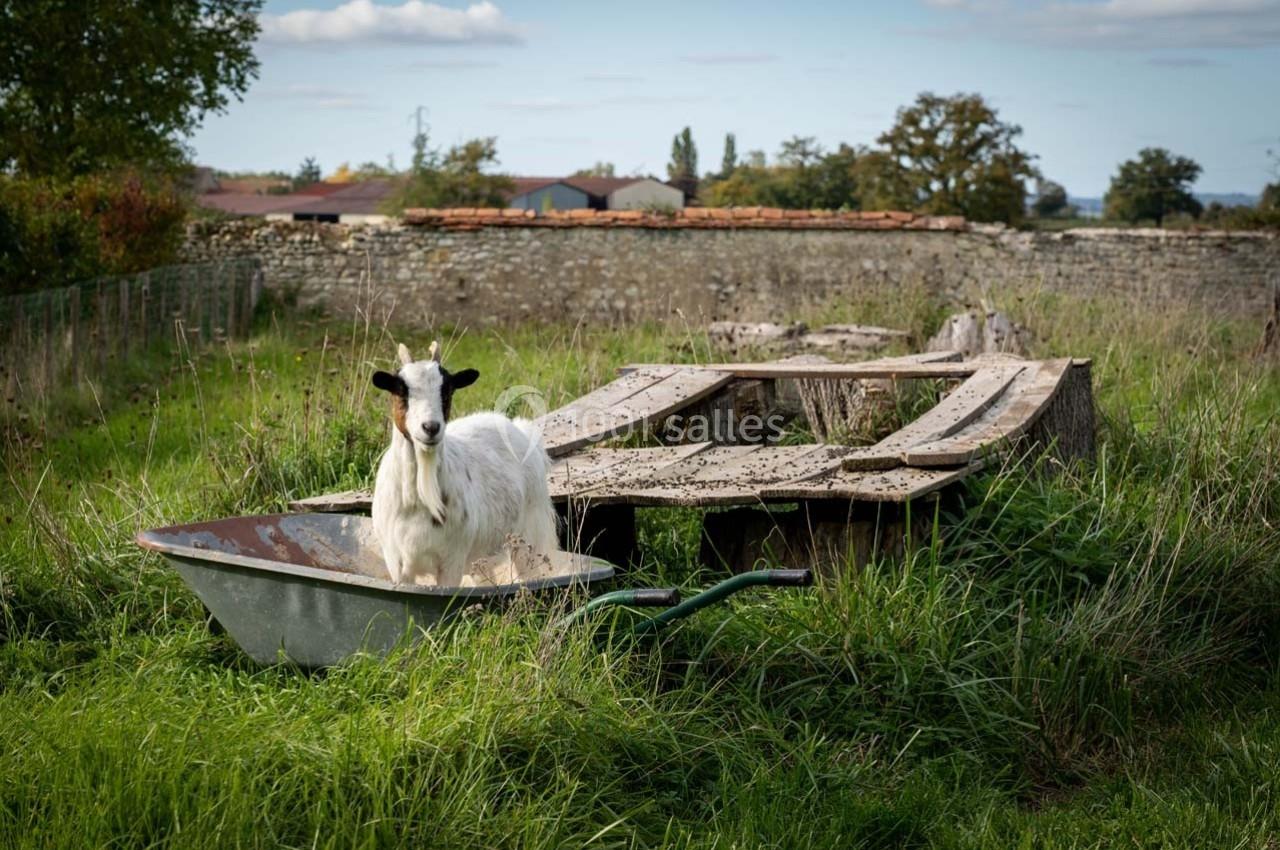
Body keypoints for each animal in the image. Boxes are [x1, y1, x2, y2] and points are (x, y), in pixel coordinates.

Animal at [370, 341, 560, 587]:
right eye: (401, 390)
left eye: (447, 391)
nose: (430, 427)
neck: (418, 500)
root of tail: (520, 428)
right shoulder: (397, 564)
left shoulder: (452, 560)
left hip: (529, 537)